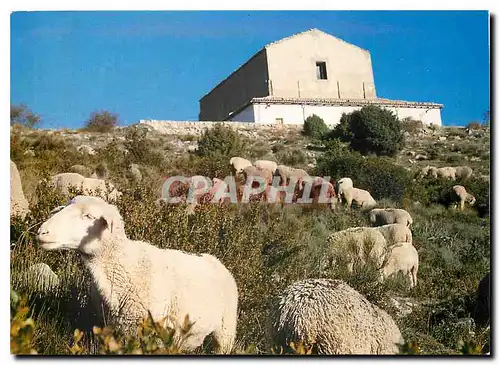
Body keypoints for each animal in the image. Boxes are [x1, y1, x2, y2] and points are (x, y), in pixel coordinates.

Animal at [36, 196, 238, 352]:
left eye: (88, 216)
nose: (42, 232)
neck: (124, 265)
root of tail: (214, 259)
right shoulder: (116, 327)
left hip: (226, 330)